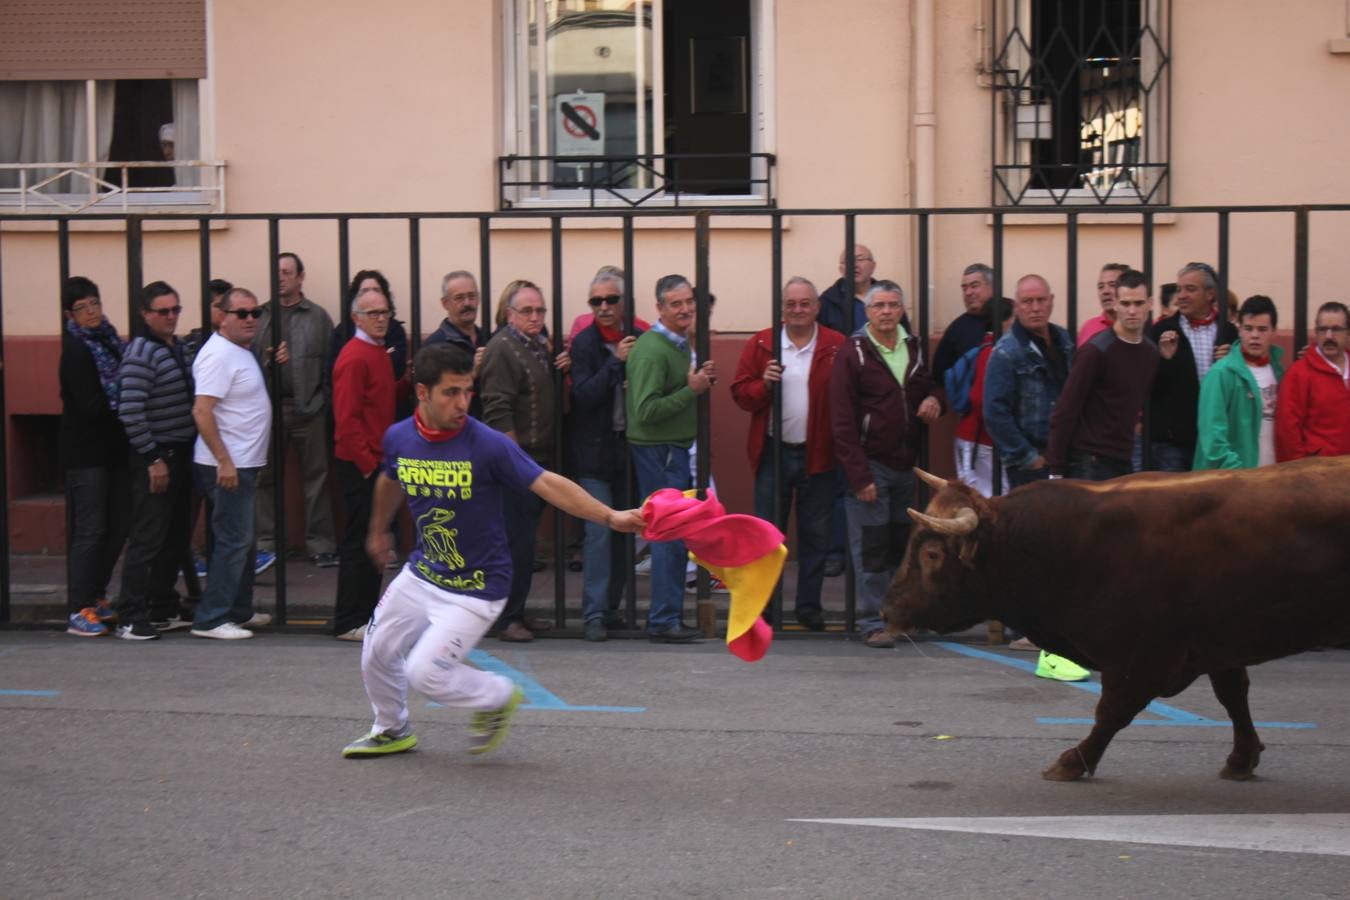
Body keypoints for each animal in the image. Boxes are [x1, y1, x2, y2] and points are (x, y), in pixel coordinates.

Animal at [880, 458, 1350, 782]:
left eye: (932, 554)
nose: (888, 609)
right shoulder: (1217, 643)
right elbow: (1234, 696)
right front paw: (1242, 758)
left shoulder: (1141, 658)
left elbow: (1111, 711)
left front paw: (1072, 761)